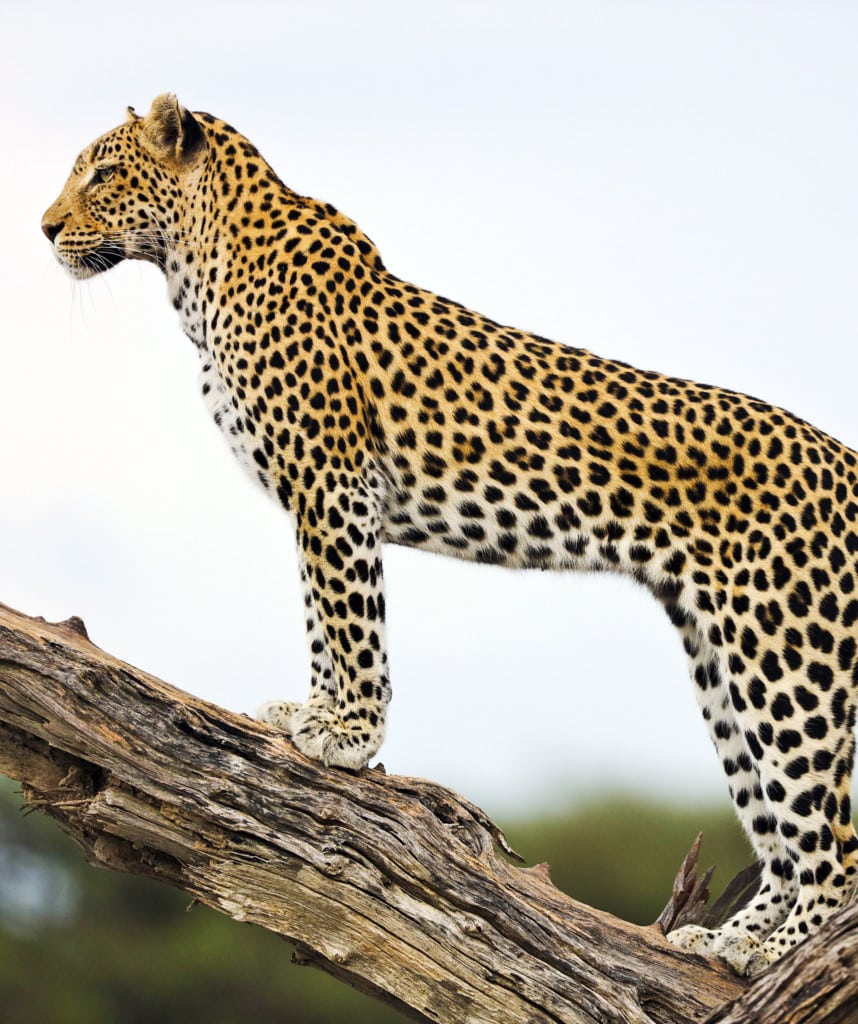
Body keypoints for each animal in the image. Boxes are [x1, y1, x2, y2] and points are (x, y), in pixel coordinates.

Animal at [42, 94, 858, 977]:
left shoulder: (334, 486)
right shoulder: (311, 502)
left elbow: (352, 623)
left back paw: (778, 952)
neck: (193, 269)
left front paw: (351, 736)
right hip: (725, 665)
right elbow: (320, 621)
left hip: (789, 661)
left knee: (834, 846)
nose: (44, 228)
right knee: (781, 830)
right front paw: (309, 713)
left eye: (103, 174)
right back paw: (735, 940)